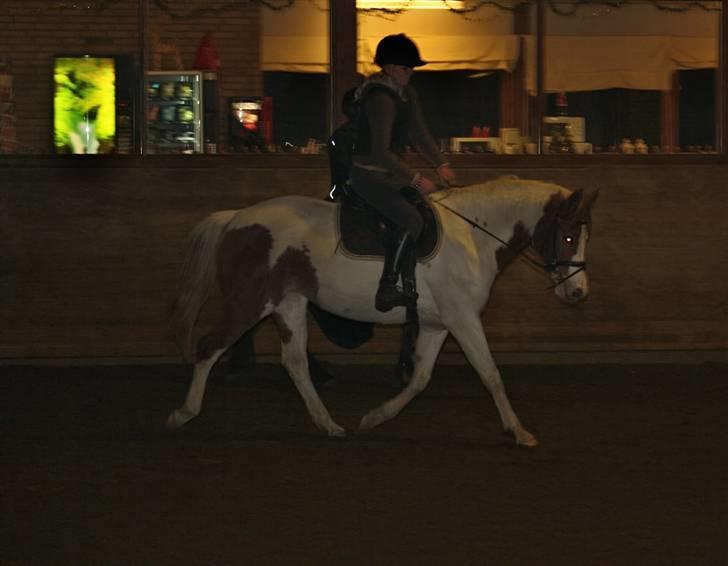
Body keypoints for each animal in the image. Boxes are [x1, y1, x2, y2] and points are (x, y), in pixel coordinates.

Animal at [169, 178, 596, 448]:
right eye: (569, 235)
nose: (578, 293)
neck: (472, 237)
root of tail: (236, 218)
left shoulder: (438, 324)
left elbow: (420, 379)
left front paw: (376, 417)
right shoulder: (463, 319)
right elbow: (490, 374)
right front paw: (520, 432)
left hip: (289, 303)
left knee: (294, 362)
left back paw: (329, 424)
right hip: (250, 302)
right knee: (209, 347)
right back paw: (184, 413)